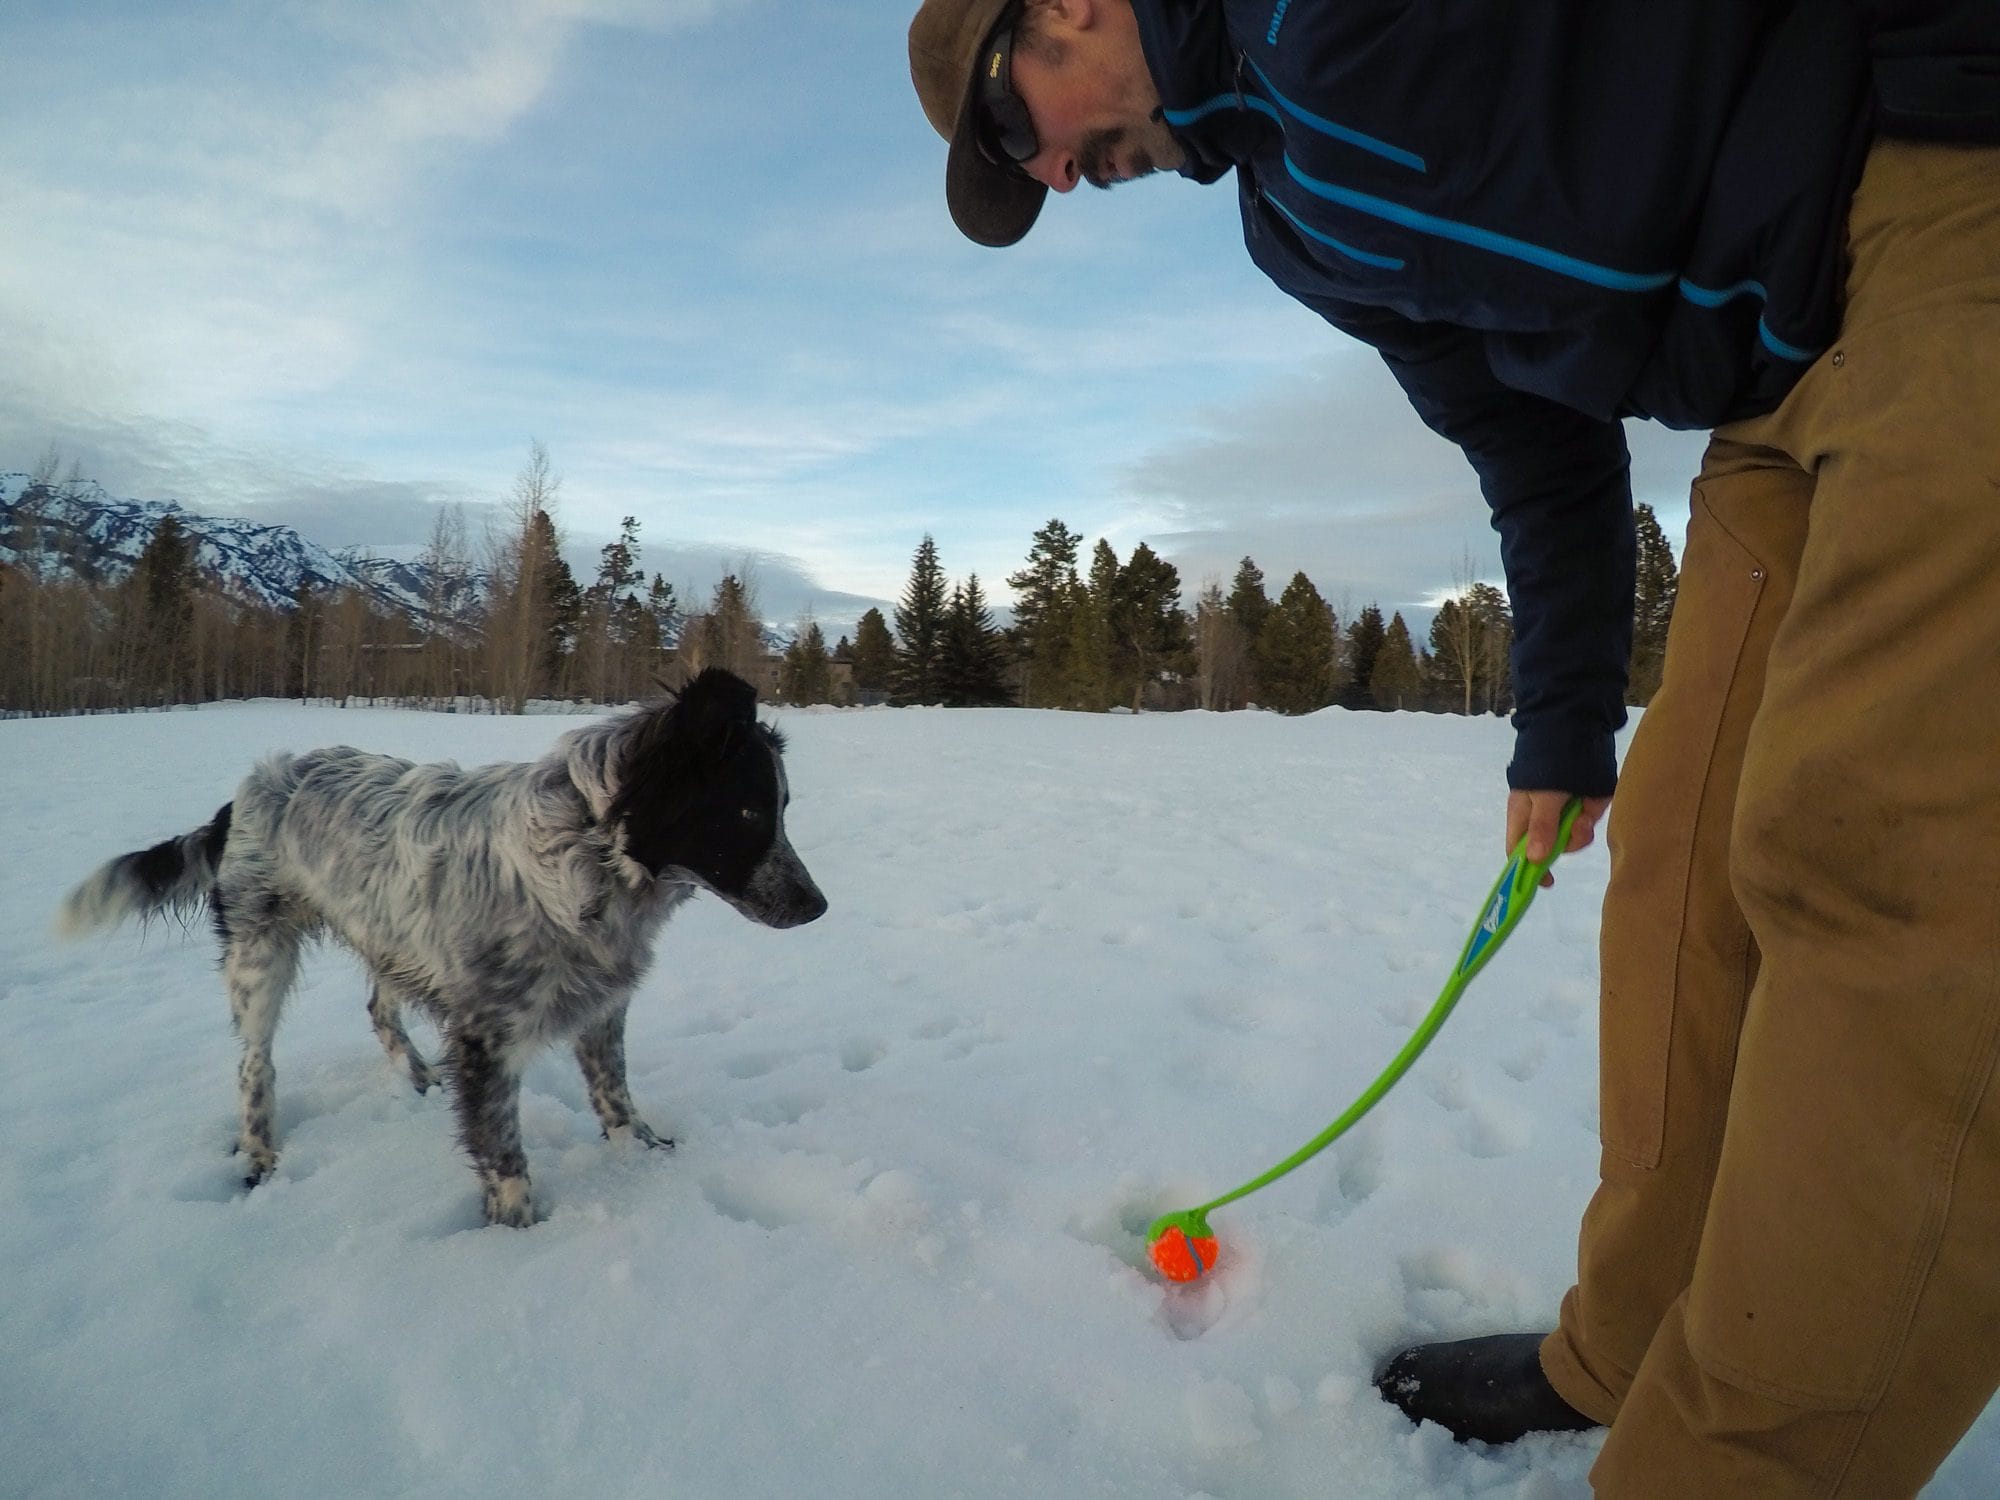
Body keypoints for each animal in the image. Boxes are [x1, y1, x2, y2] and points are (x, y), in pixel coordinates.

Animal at [54, 676, 824, 1224]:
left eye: (782, 810)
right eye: (749, 811)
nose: (818, 907)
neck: (584, 853)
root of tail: (245, 790)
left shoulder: (600, 1008)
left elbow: (616, 1099)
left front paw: (645, 1156)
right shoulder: (489, 1037)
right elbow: (505, 1157)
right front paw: (520, 1238)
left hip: (394, 935)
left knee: (377, 1007)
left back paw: (418, 1078)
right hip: (261, 955)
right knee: (254, 1064)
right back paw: (261, 1156)